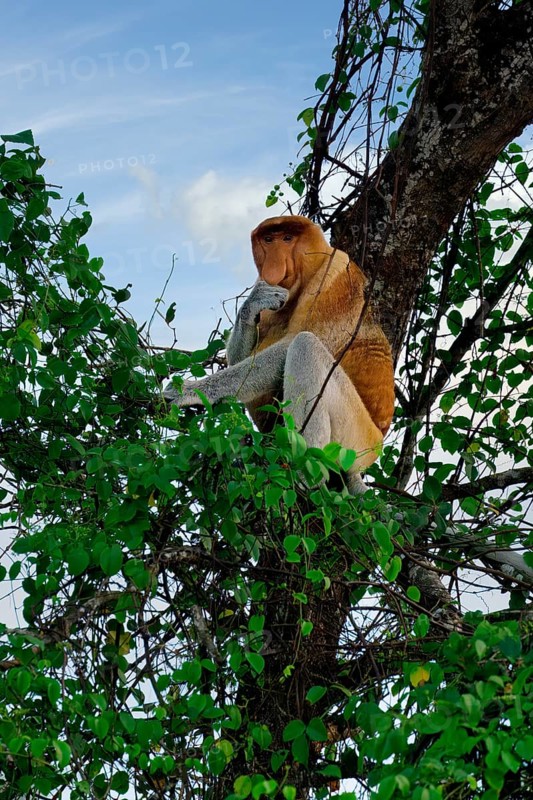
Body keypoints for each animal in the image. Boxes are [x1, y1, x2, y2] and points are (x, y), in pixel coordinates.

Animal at [164, 215, 395, 493]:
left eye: (287, 238)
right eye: (268, 240)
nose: (273, 267)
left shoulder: (336, 276)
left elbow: (288, 345)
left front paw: (187, 391)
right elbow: (241, 358)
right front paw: (253, 303)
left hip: (359, 440)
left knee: (305, 345)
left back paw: (307, 473)